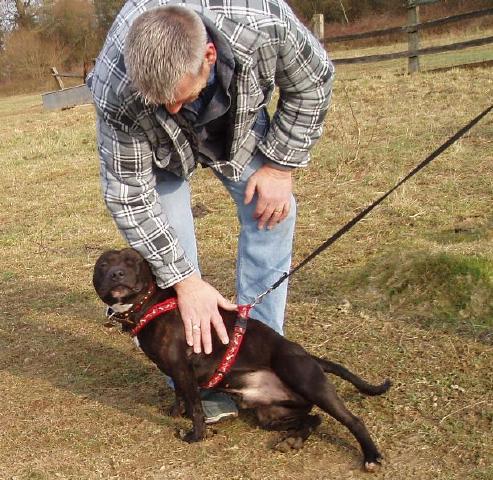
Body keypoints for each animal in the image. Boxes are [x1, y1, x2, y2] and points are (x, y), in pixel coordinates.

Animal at [93, 249, 392, 470]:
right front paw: (175, 413)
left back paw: (371, 456)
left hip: (305, 379)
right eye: (102, 265)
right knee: (313, 418)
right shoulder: (176, 370)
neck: (147, 303)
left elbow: (196, 407)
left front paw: (196, 436)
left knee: (352, 420)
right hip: (271, 414)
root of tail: (311, 358)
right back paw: (293, 440)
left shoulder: (183, 369)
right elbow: (179, 395)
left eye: (133, 261)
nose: (116, 274)